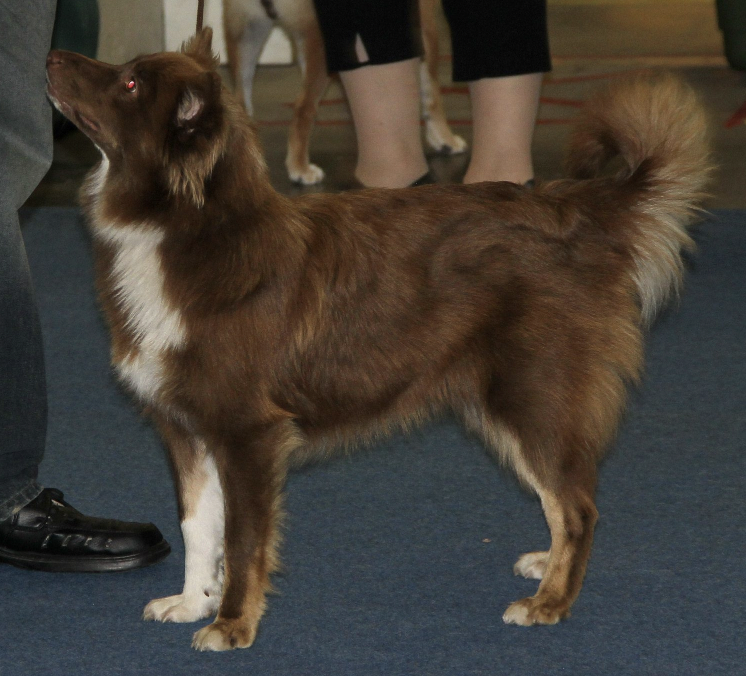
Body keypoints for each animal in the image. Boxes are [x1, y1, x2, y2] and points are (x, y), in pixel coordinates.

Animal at [48, 30, 708, 648]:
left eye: (130, 84)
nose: (52, 57)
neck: (184, 228)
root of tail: (579, 213)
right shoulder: (187, 429)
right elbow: (197, 526)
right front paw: (192, 602)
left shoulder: (246, 433)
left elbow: (242, 541)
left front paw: (232, 624)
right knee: (565, 499)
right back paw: (547, 567)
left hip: (531, 395)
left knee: (577, 506)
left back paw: (550, 602)